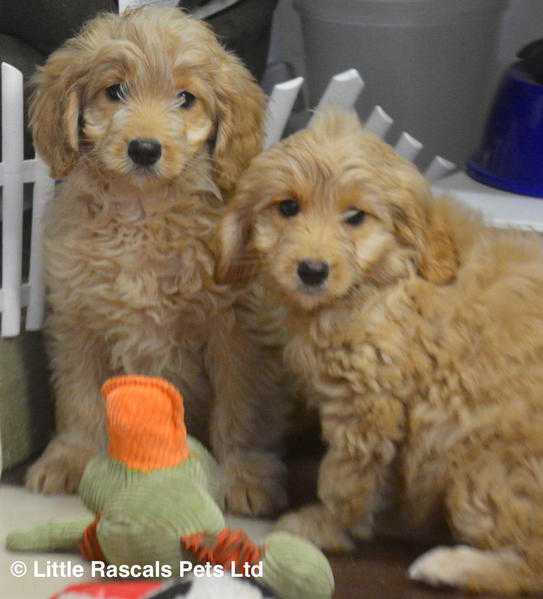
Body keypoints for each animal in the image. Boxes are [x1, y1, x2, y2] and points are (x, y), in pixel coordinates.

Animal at [26, 5, 288, 520]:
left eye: (186, 99)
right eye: (115, 91)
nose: (144, 149)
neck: (142, 214)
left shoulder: (234, 331)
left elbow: (240, 410)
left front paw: (244, 475)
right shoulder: (76, 320)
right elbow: (78, 399)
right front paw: (70, 459)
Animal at [217, 109, 543, 596]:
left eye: (356, 217)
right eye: (287, 207)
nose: (312, 271)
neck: (382, 276)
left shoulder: (365, 403)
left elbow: (345, 479)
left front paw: (321, 526)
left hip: (481, 464)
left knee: (532, 566)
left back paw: (446, 564)